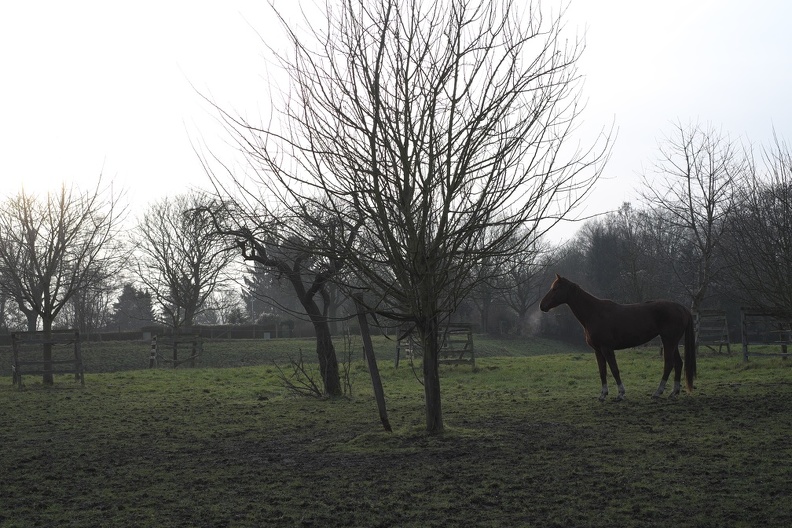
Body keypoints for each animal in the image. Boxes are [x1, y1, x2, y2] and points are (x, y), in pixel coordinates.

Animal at [540, 276, 700, 400]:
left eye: (555, 289)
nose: (542, 305)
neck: (594, 313)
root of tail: (682, 308)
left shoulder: (607, 348)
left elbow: (614, 369)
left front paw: (620, 394)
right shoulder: (598, 350)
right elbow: (602, 371)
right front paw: (603, 394)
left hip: (668, 341)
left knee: (669, 364)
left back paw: (658, 392)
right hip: (672, 342)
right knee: (678, 363)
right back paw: (674, 392)